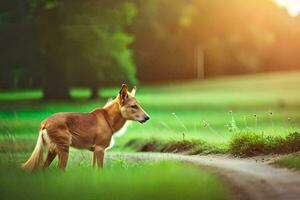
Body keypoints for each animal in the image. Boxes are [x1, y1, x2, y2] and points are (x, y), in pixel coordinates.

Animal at [21, 84, 150, 170]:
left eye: (139, 105)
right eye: (133, 106)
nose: (147, 117)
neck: (108, 120)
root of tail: (45, 122)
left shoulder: (95, 151)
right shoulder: (100, 149)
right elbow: (100, 170)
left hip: (53, 150)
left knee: (44, 168)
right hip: (64, 149)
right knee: (59, 169)